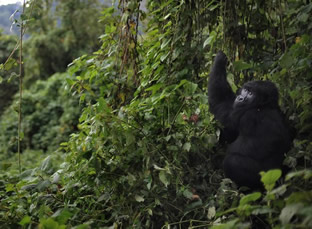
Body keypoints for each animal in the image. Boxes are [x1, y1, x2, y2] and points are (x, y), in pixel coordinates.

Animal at [207, 52, 292, 190]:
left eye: (251, 94)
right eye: (246, 90)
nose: (240, 98)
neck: (264, 106)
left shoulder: (247, 114)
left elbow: (223, 104)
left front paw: (219, 60)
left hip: (265, 179)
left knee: (232, 162)